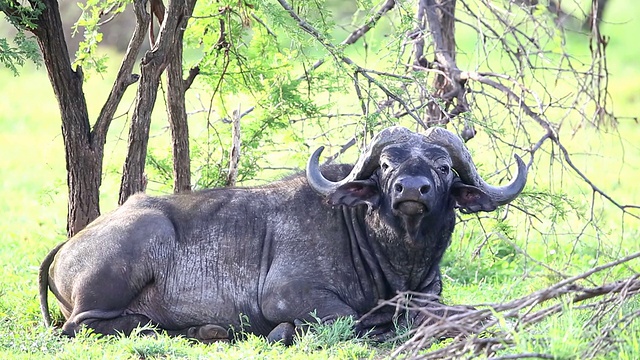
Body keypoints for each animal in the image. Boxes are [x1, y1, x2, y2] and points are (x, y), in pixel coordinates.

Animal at [38, 126, 524, 344]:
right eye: (386, 165)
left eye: (443, 168)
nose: (411, 189)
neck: (396, 259)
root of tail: (68, 245)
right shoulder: (288, 295)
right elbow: (351, 318)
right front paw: (285, 331)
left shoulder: (429, 297)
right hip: (140, 239)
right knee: (84, 325)